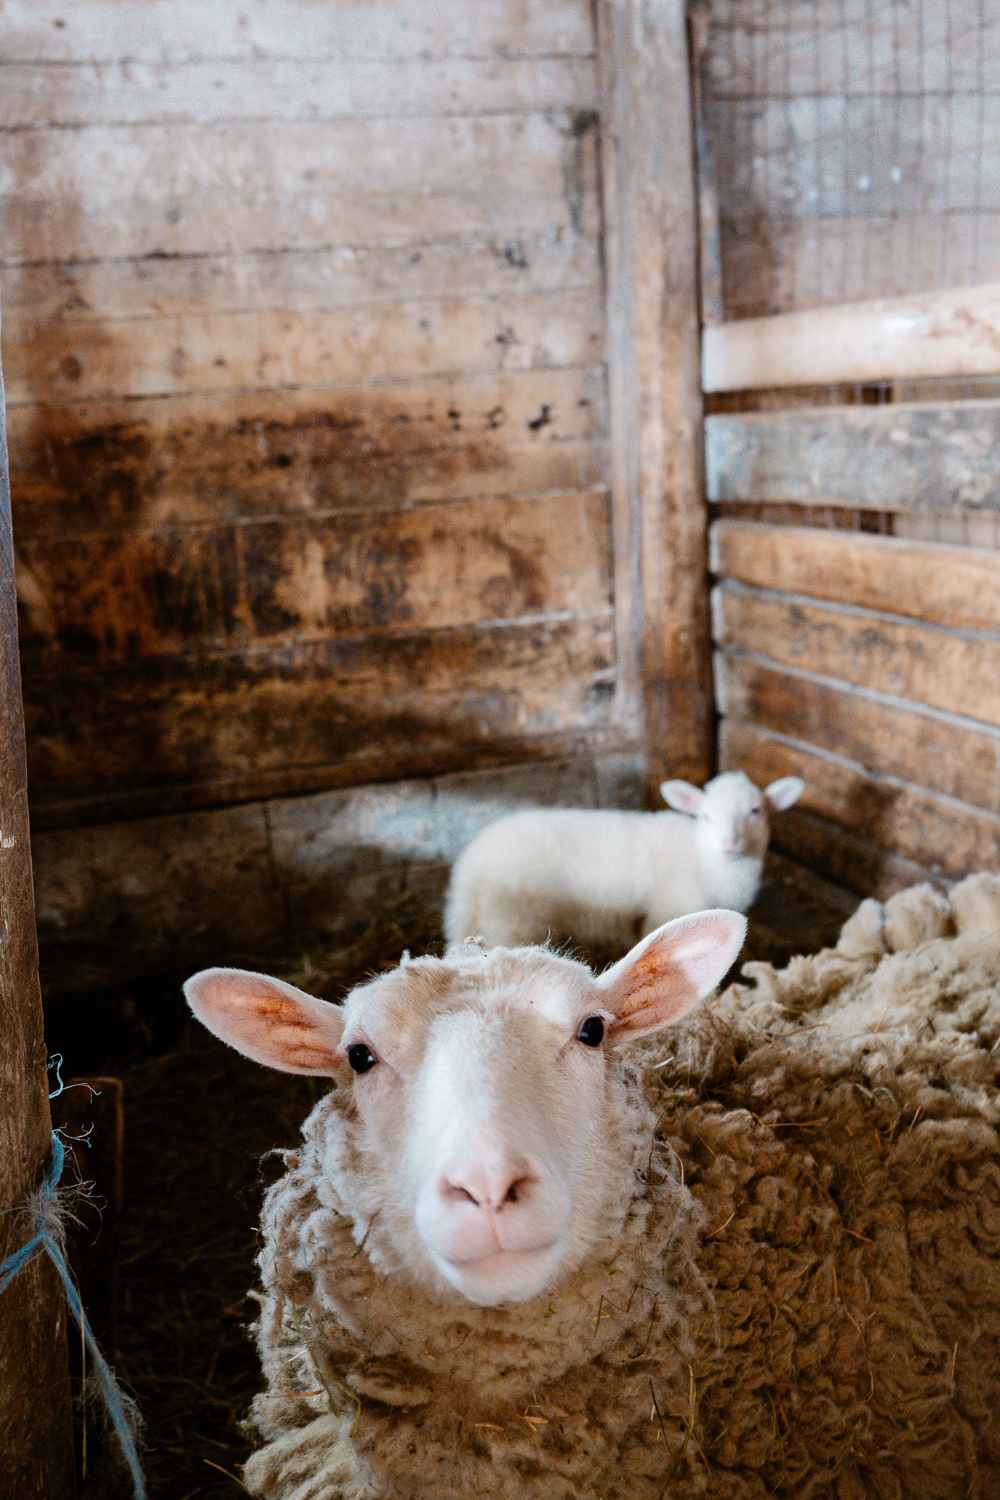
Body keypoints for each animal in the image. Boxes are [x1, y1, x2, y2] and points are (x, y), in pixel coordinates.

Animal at [440, 774, 803, 948]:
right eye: (706, 816)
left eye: (755, 811)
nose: (730, 843)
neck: (704, 859)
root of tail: (472, 863)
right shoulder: (669, 911)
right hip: (512, 923)